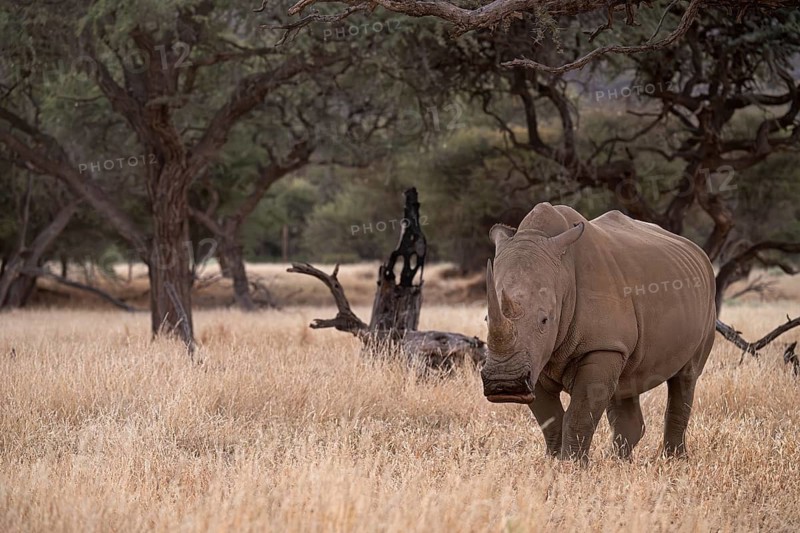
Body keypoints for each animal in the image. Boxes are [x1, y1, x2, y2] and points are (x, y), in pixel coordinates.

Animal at [482, 203, 716, 462]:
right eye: (486, 319)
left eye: (545, 320)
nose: (504, 383)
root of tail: (698, 252)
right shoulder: (535, 358)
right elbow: (550, 419)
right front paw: (553, 462)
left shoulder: (602, 346)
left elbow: (579, 414)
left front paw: (572, 465)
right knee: (625, 383)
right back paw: (619, 463)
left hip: (708, 302)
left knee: (686, 376)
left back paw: (675, 461)